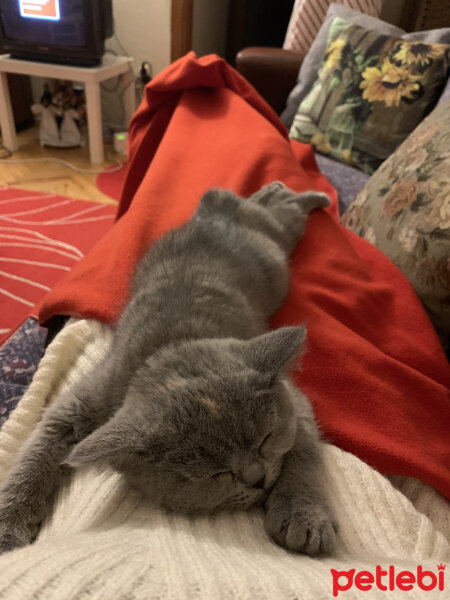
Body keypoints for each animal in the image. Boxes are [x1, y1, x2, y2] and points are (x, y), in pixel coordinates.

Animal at [0, 180, 336, 556]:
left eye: (265, 439)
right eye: (214, 473)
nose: (258, 477)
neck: (171, 343)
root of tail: (212, 209)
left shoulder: (296, 400)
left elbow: (302, 452)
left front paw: (303, 517)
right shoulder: (88, 398)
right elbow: (37, 449)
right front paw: (8, 524)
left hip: (279, 238)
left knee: (284, 209)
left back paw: (304, 194)